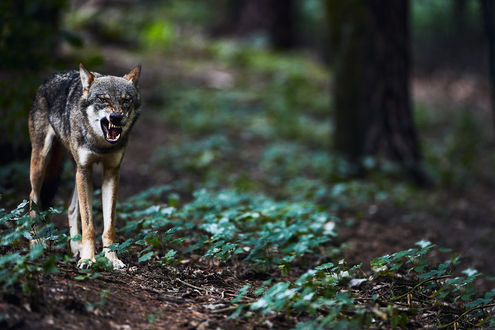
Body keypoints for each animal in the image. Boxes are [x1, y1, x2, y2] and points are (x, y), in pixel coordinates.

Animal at [28, 63, 141, 268]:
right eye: (103, 99)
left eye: (125, 101)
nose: (116, 117)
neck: (101, 145)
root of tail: (50, 77)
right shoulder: (85, 169)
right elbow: (89, 225)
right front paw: (88, 259)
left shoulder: (111, 172)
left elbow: (108, 226)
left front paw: (112, 259)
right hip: (42, 163)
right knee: (33, 197)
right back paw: (36, 243)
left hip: (75, 171)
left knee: (71, 208)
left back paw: (76, 247)